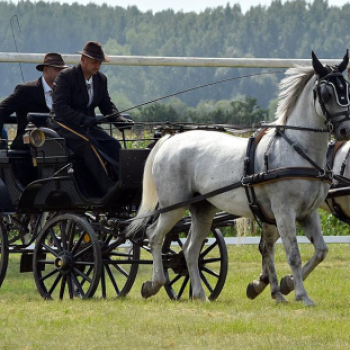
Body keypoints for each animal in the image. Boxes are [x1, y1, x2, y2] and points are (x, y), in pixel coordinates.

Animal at [127, 50, 350, 304]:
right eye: (327, 93)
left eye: (346, 88)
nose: (345, 130)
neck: (296, 149)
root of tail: (170, 139)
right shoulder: (284, 211)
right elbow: (293, 254)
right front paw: (301, 295)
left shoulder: (308, 212)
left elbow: (321, 250)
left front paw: (285, 285)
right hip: (173, 205)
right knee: (154, 236)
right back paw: (154, 284)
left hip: (203, 209)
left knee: (190, 250)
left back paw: (199, 294)